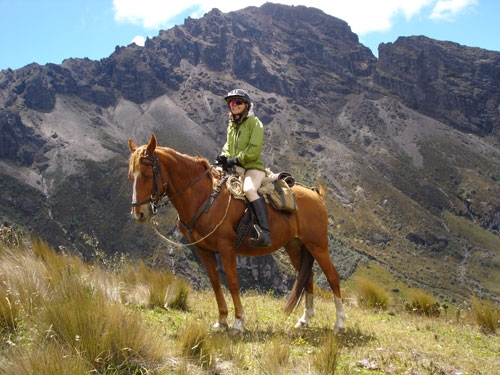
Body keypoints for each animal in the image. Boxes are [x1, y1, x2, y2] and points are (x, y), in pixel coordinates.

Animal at [127, 134, 346, 334]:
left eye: (147, 174)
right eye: (131, 176)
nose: (139, 213)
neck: (203, 197)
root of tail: (316, 194)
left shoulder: (226, 248)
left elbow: (232, 282)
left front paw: (238, 322)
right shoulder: (203, 251)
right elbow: (216, 283)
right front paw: (221, 320)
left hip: (318, 245)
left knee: (333, 276)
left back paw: (340, 323)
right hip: (295, 246)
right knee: (307, 276)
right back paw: (304, 320)